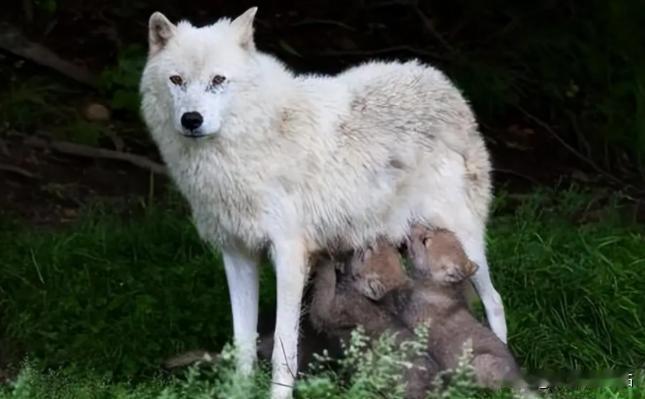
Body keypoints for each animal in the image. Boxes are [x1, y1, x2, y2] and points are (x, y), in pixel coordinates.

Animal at [141, 7, 508, 399]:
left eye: (218, 79)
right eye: (176, 80)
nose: (191, 120)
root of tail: (443, 84)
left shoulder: (289, 256)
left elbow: (283, 349)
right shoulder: (237, 254)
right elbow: (242, 345)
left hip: (465, 243)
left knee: (495, 301)